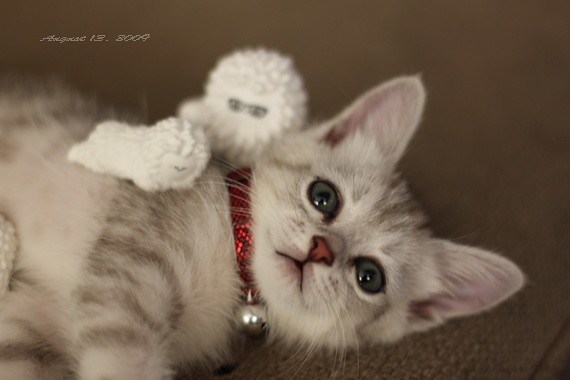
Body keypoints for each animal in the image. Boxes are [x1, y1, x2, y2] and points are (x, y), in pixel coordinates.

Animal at [0, 75, 520, 378]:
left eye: (369, 277)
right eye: (324, 197)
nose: (320, 249)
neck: (232, 265)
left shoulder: (31, 319)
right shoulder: (131, 267)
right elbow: (123, 362)